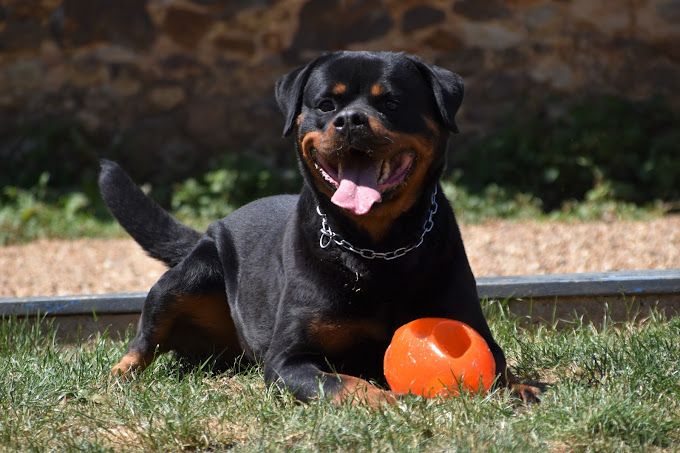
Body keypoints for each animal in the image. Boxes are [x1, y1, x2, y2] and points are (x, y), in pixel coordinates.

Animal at [98, 51, 540, 404]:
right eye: (326, 104)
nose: (350, 120)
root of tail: (212, 228)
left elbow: (497, 363)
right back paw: (117, 376)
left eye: (392, 102)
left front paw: (519, 388)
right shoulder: (287, 360)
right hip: (190, 275)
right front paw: (388, 400)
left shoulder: (471, 325)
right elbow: (345, 382)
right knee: (142, 340)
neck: (377, 247)